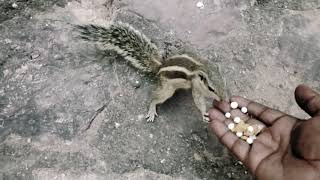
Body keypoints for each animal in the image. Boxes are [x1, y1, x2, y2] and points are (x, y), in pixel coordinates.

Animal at [75, 21, 222, 122]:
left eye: (224, 84)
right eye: (211, 88)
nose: (222, 99)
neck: (200, 68)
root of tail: (160, 67)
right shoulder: (195, 87)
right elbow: (198, 100)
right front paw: (203, 114)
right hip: (167, 88)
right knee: (155, 97)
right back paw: (152, 109)